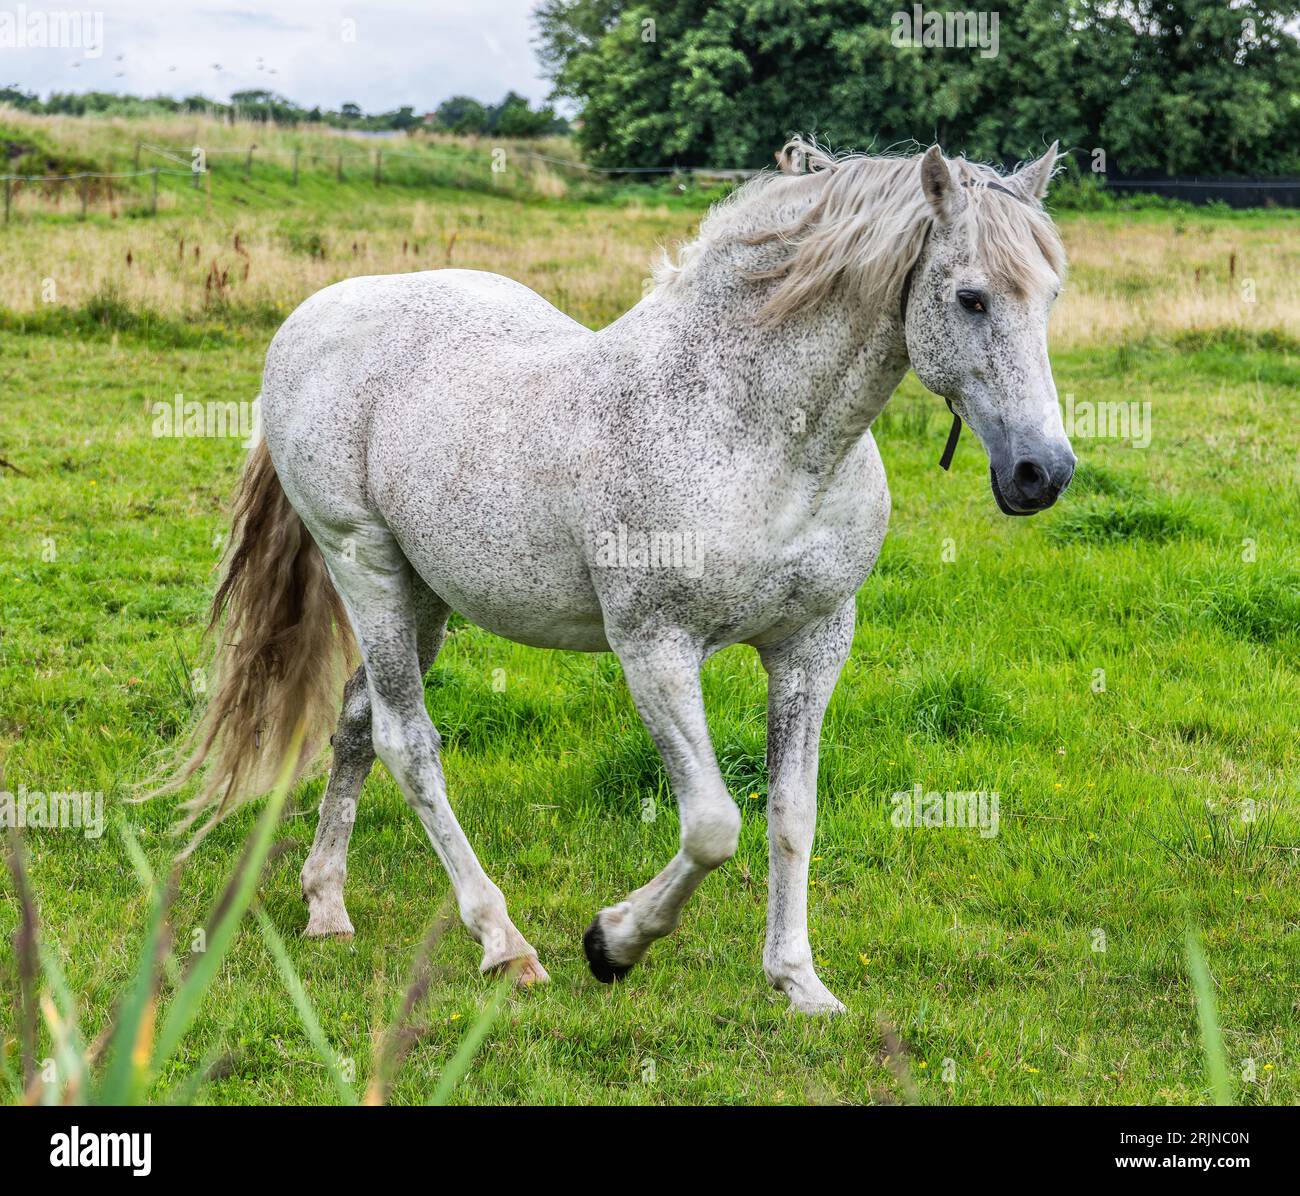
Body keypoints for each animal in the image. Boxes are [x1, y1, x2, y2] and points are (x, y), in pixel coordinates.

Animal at [167, 142, 1071, 1019]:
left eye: (1050, 295)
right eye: (971, 298)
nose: (1043, 472)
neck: (753, 429)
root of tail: (314, 316)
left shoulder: (813, 642)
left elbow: (792, 813)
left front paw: (798, 981)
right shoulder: (656, 646)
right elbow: (712, 825)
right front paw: (613, 943)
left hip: (426, 596)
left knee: (358, 718)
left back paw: (327, 904)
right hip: (368, 569)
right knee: (406, 741)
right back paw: (503, 942)